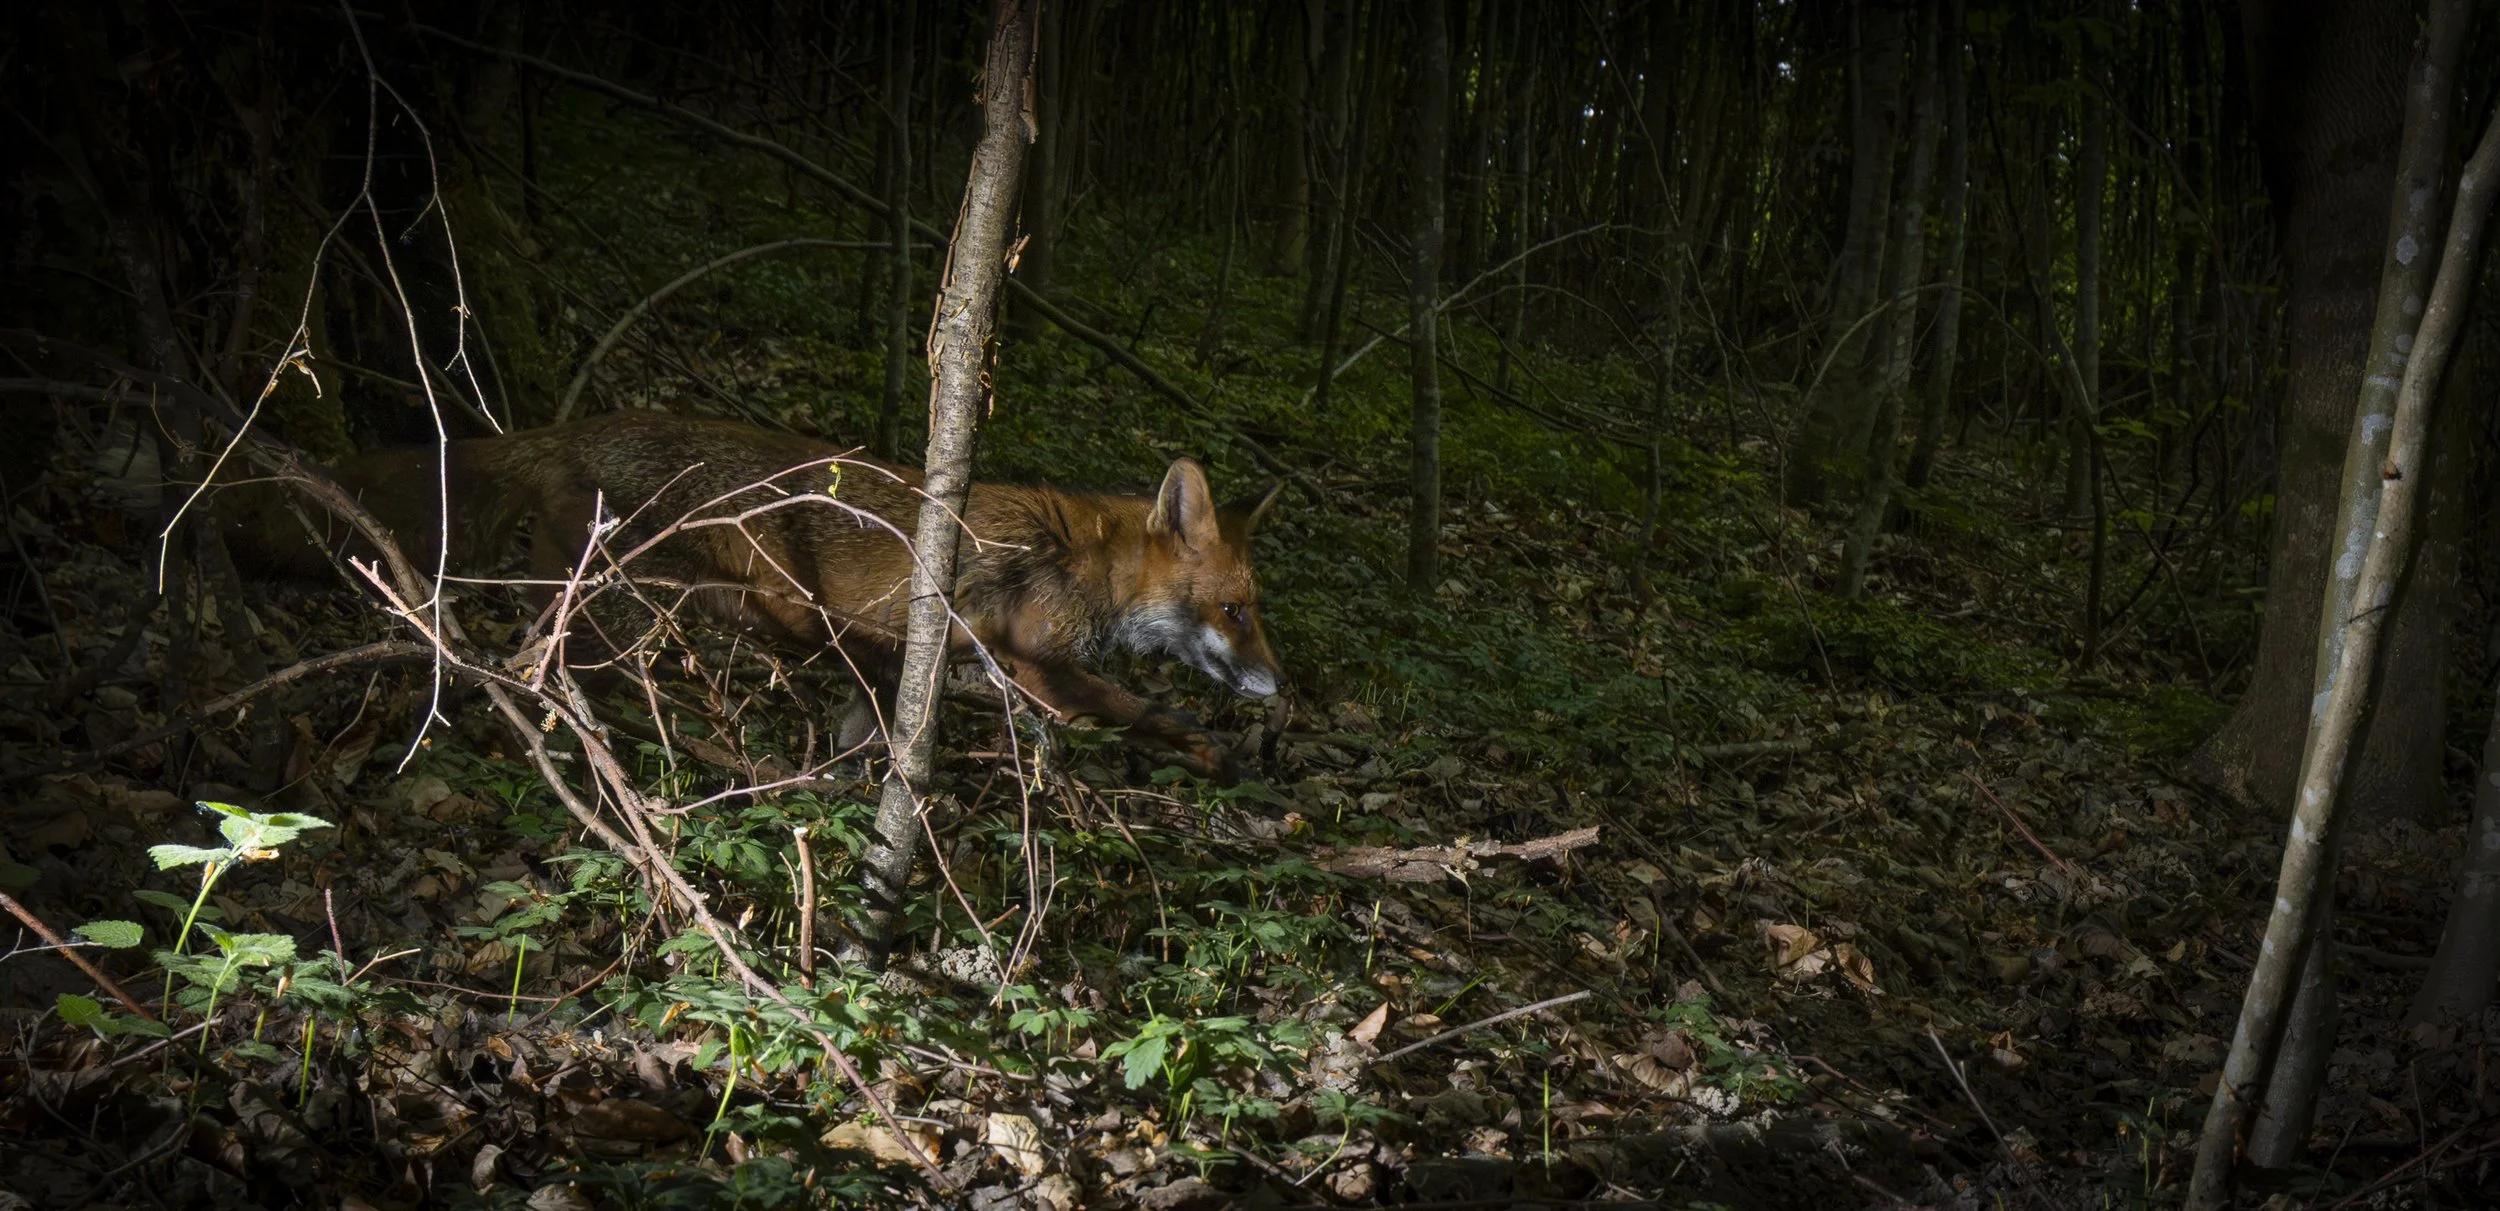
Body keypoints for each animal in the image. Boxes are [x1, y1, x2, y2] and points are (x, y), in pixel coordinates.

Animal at [227, 411, 1284, 777]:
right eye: (1236, 610)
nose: (1282, 688)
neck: (1089, 559)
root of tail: (582, 426)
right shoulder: (1033, 657)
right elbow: (1135, 708)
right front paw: (1212, 749)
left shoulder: (929, 659)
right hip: (676, 603)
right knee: (547, 662)